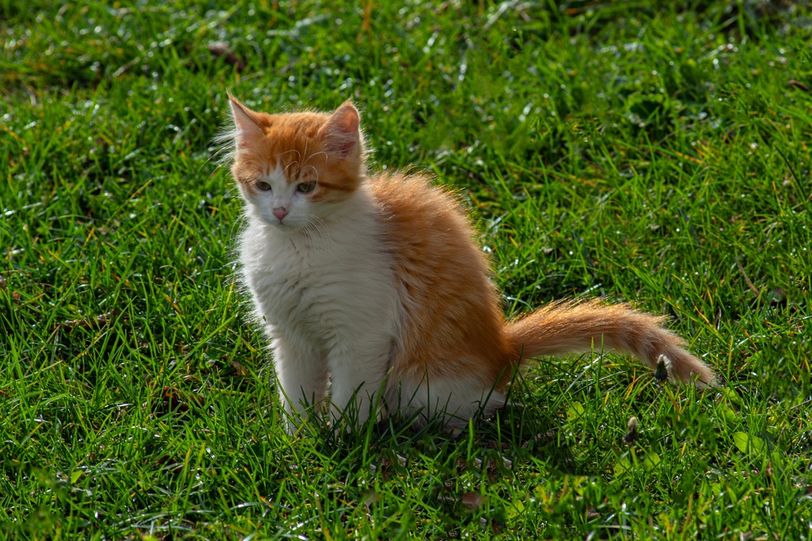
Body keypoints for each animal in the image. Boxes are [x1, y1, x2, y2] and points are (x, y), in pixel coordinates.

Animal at [224, 97, 716, 432]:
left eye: (306, 187)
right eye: (263, 185)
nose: (280, 211)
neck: (297, 248)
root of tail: (503, 348)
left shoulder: (361, 334)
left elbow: (350, 393)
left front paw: (345, 439)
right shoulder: (289, 335)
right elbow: (296, 390)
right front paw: (300, 439)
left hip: (422, 384)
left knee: (488, 403)